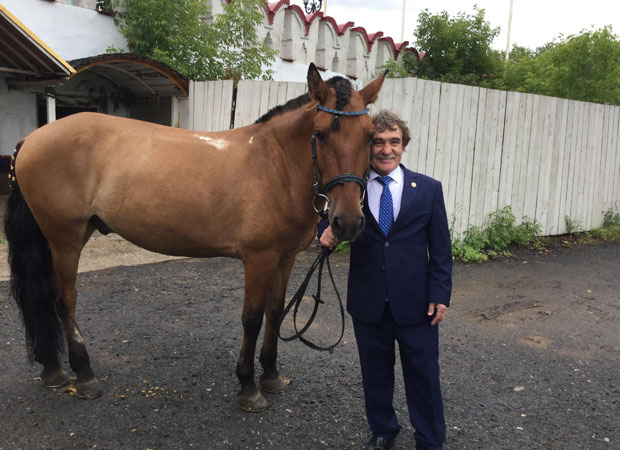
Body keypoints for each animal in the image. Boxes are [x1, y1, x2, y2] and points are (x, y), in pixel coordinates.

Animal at [4, 64, 386, 412]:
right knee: (63, 300)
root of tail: (32, 139)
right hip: (65, 240)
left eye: (370, 136)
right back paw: (84, 376)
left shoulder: (285, 257)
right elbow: (251, 318)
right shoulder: (259, 258)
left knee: (43, 296)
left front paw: (271, 375)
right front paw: (248, 386)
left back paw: (53, 370)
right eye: (320, 134)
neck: (275, 163)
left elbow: (275, 312)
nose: (348, 223)